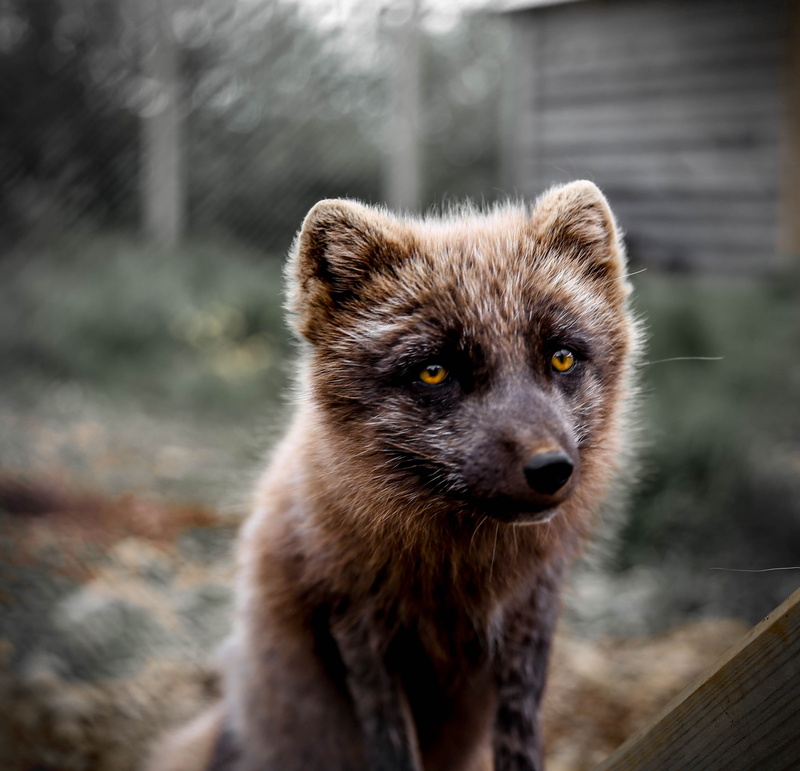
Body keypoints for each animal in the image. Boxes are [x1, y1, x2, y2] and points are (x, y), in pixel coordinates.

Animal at [146, 180, 641, 771]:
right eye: (434, 371)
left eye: (562, 358)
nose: (550, 470)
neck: (461, 576)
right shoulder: (357, 625)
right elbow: (391, 746)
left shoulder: (532, 614)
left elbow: (520, 739)